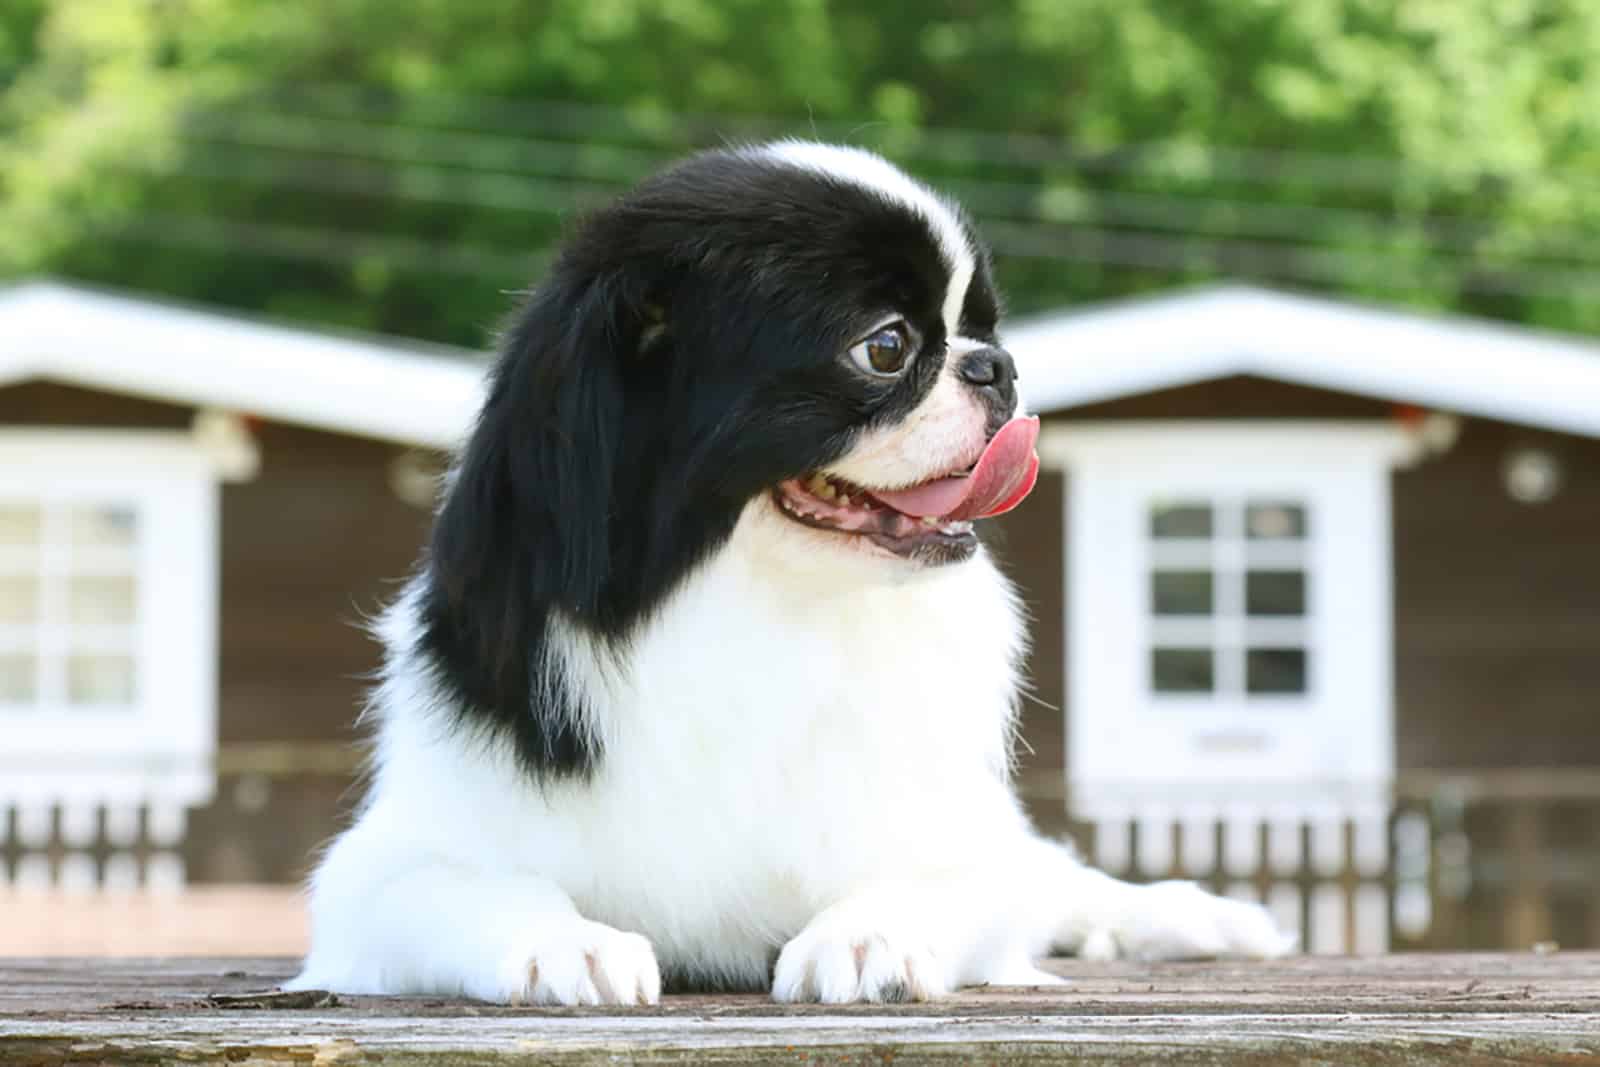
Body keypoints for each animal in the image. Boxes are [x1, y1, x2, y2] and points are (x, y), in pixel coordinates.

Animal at [284, 143, 1286, 1011]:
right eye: (886, 348)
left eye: (982, 328)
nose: (996, 365)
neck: (755, 610)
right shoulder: (384, 867)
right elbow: (478, 890)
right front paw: (567, 944)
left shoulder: (959, 842)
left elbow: (945, 882)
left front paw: (868, 937)